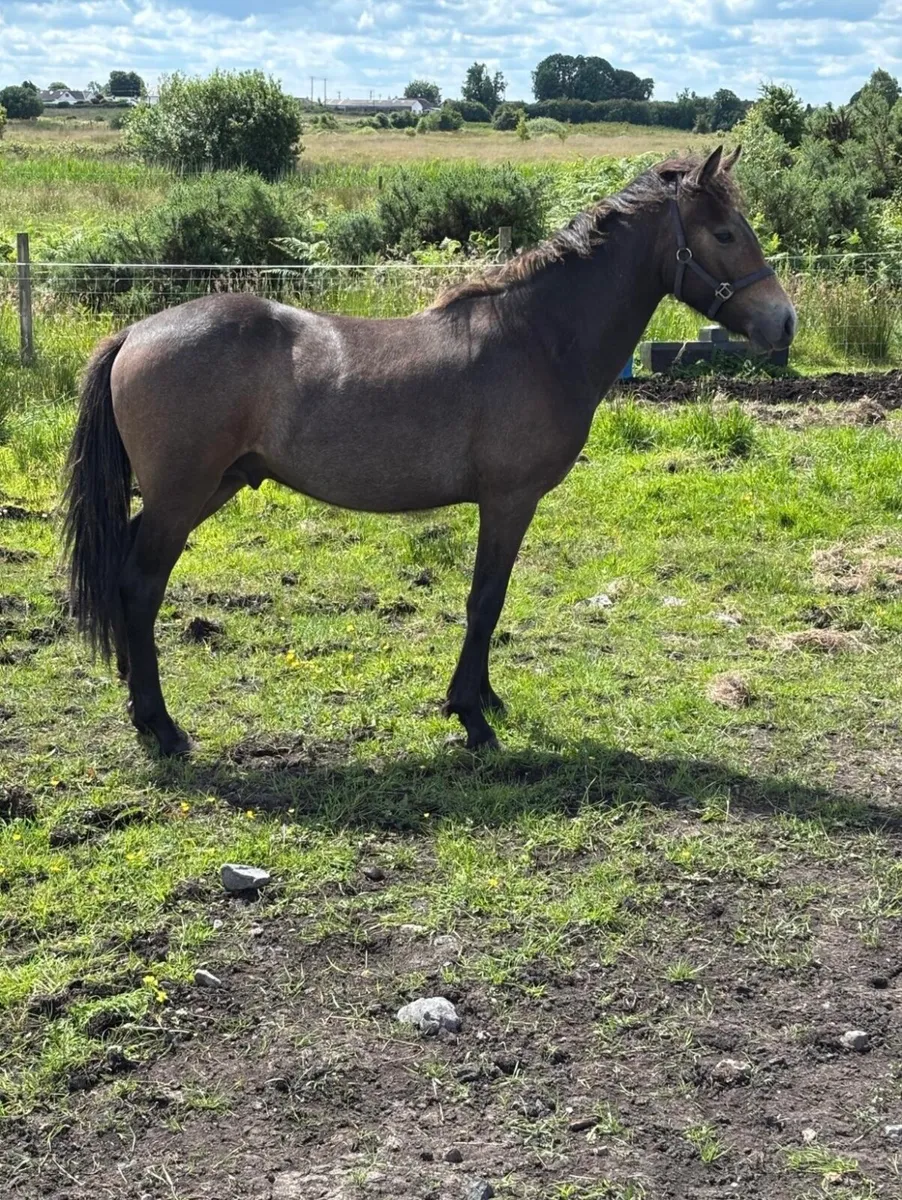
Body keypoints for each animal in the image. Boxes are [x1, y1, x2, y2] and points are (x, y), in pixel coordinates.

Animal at [63, 146, 796, 757]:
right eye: (724, 233)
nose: (783, 322)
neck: (538, 337)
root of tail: (135, 332)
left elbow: (491, 601)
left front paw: (487, 701)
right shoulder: (508, 501)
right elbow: (485, 600)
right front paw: (470, 716)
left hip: (208, 487)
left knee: (126, 573)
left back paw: (136, 697)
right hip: (183, 494)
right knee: (140, 584)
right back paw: (162, 727)